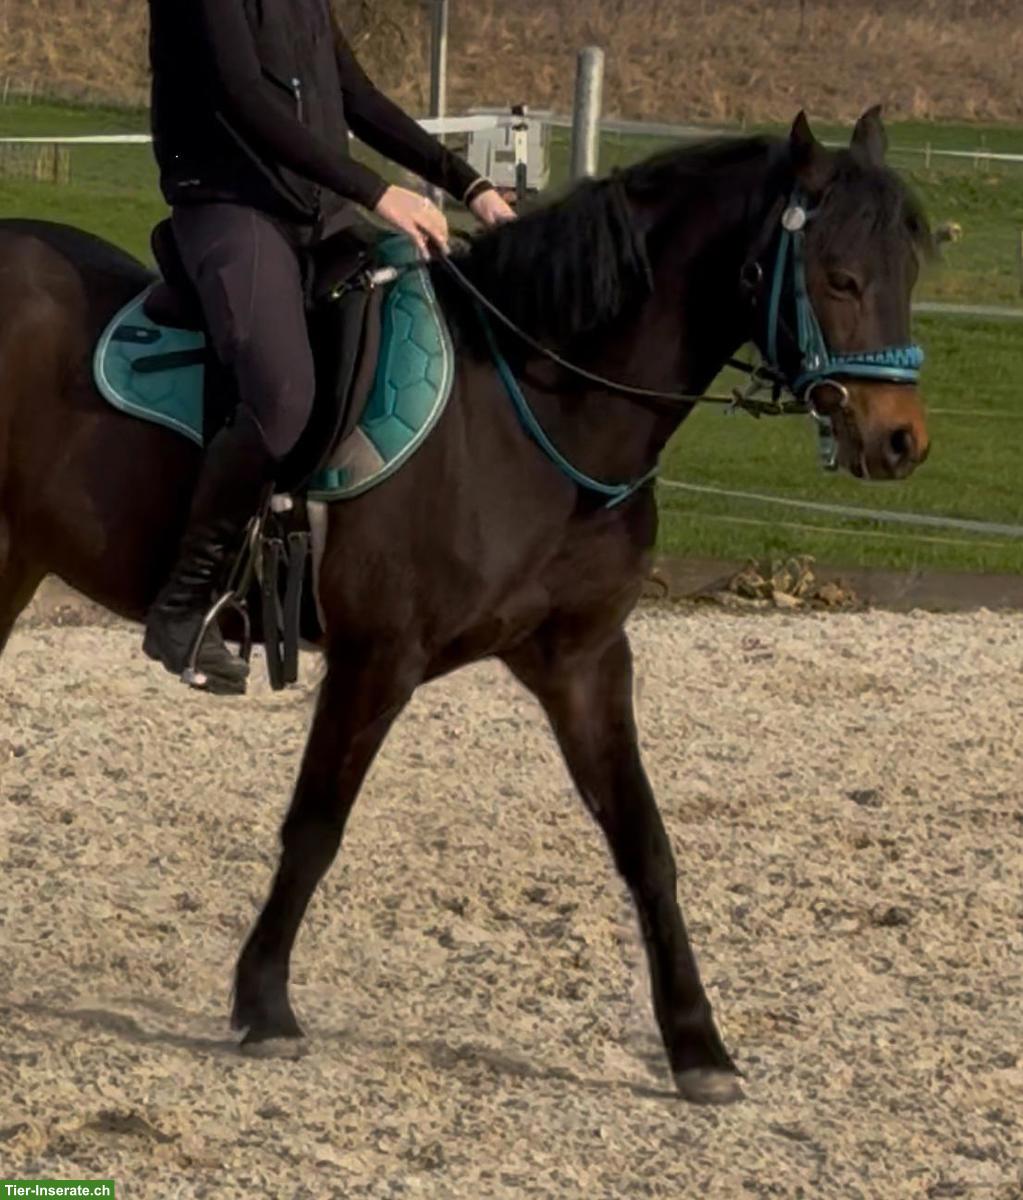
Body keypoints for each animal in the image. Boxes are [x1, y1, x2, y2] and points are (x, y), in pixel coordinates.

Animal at [0, 109, 931, 1104]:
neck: (532, 411)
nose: (899, 441)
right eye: (837, 277)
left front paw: (698, 1047)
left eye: (908, 270)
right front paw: (264, 1004)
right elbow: (316, 827)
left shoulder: (584, 663)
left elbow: (645, 843)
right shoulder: (377, 660)